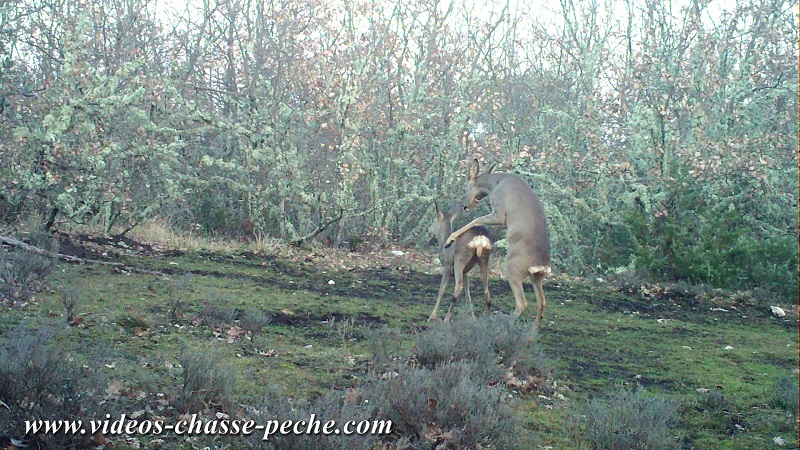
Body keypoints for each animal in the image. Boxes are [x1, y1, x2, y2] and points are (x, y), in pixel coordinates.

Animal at [444, 160, 552, 340]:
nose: (465, 206)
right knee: (542, 302)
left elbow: (477, 218)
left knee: (522, 302)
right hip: (536, 277)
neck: (496, 183)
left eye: (467, 186)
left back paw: (502, 329)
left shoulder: (500, 212)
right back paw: (531, 337)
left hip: (513, 270)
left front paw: (450, 238)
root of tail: (541, 265)